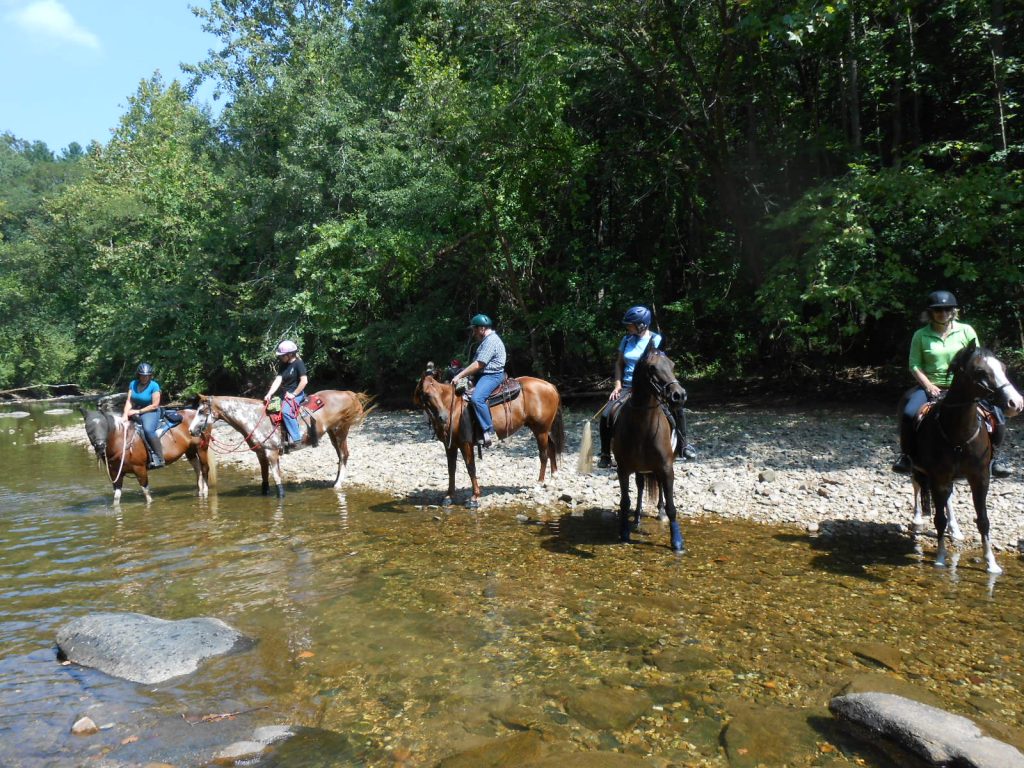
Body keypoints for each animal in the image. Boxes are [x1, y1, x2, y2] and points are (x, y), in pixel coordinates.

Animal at [81, 409, 214, 505]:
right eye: (88, 427)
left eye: (104, 425)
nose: (100, 446)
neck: (122, 441)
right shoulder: (115, 473)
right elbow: (116, 498)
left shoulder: (139, 469)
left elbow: (147, 494)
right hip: (190, 451)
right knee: (198, 470)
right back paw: (199, 491)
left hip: (201, 448)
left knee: (204, 469)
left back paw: (205, 492)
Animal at [189, 391, 372, 499]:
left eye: (202, 411)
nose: (191, 430)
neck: (255, 418)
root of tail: (348, 394)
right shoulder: (260, 454)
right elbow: (264, 478)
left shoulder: (272, 452)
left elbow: (277, 479)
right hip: (333, 433)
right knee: (340, 457)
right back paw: (335, 480)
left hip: (341, 430)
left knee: (344, 455)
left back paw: (338, 484)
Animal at [411, 364, 565, 507]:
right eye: (426, 394)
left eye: (439, 392)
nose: (443, 417)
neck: (452, 407)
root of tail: (550, 385)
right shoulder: (450, 445)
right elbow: (451, 469)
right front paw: (449, 496)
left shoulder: (465, 443)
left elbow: (470, 468)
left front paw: (474, 497)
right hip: (544, 430)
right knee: (552, 448)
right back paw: (554, 477)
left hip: (540, 430)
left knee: (543, 455)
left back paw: (539, 482)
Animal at [606, 348, 688, 552]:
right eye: (652, 368)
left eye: (672, 365)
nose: (679, 395)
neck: (644, 426)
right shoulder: (623, 469)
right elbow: (625, 502)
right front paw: (624, 533)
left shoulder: (666, 467)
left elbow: (672, 506)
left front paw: (677, 542)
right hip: (640, 469)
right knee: (641, 487)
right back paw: (636, 519)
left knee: (658, 486)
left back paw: (659, 513)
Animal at [909, 342, 1019, 573]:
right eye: (980, 372)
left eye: (1003, 368)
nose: (1016, 402)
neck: (958, 433)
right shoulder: (938, 476)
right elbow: (938, 519)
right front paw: (940, 557)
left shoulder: (980, 478)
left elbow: (983, 520)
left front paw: (991, 563)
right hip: (917, 468)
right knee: (916, 486)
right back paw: (917, 519)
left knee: (948, 498)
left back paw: (956, 530)